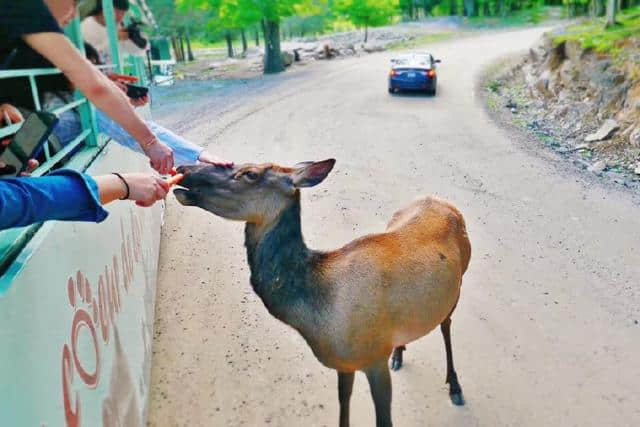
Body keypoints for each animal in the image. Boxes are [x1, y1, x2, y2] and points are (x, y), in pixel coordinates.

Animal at [175, 160, 470, 427]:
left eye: (250, 173)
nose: (184, 168)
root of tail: (442, 201)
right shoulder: (345, 363)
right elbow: (343, 407)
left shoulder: (375, 356)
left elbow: (383, 420)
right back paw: (399, 355)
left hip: (459, 282)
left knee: (446, 324)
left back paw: (455, 387)